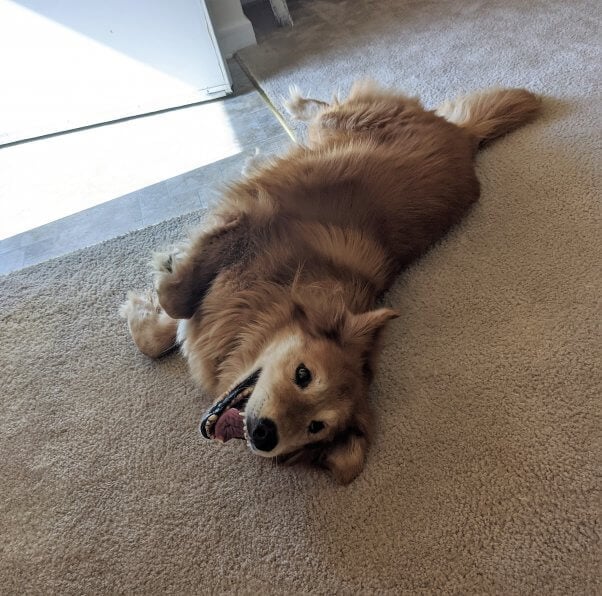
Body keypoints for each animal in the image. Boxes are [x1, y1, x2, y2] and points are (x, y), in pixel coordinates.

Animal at [119, 81, 536, 484]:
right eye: (303, 375)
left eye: (315, 427)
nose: (265, 435)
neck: (284, 288)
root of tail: (465, 136)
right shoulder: (248, 225)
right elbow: (175, 301)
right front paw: (160, 281)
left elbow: (168, 327)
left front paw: (145, 312)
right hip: (338, 125)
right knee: (327, 107)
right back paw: (293, 108)